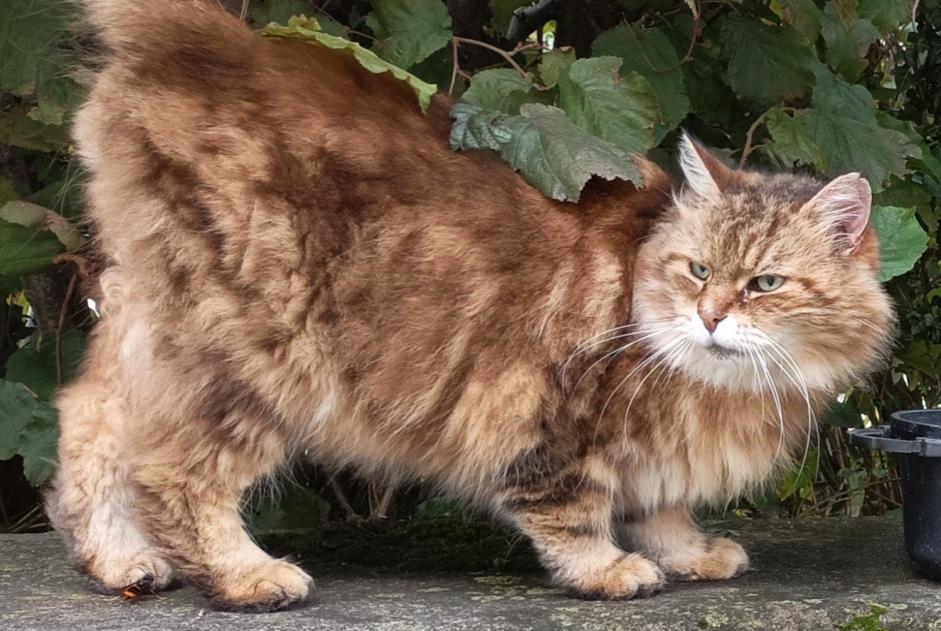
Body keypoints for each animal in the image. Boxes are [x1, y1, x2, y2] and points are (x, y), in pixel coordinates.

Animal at [49, 0, 896, 612]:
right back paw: (246, 576)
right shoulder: (553, 411)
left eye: (764, 284)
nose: (711, 316)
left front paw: (688, 551)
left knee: (87, 425)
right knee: (174, 470)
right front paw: (606, 568)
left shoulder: (653, 451)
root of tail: (208, 36)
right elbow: (573, 507)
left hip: (151, 319)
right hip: (256, 350)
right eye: (697, 270)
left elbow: (661, 505)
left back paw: (120, 561)